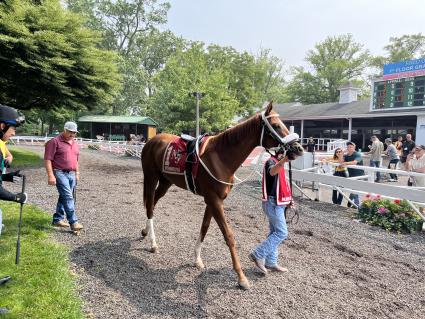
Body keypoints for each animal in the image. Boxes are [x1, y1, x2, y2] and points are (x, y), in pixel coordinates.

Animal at [141, 102, 304, 290]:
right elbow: (229, 236)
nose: (298, 148)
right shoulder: (214, 200)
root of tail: (151, 141)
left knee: (152, 203)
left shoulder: (213, 200)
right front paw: (241, 277)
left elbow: (204, 227)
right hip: (151, 178)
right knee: (150, 206)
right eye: (276, 125)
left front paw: (197, 259)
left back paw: (145, 232)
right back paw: (153, 243)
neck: (221, 158)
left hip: (166, 182)